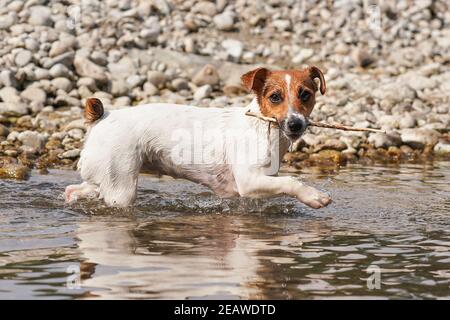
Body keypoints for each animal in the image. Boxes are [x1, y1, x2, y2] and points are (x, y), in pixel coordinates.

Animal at [64, 66, 330, 209]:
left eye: (305, 94)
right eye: (275, 97)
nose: (295, 123)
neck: (261, 125)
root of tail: (102, 116)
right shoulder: (249, 182)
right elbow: (292, 181)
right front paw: (314, 196)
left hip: (105, 177)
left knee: (76, 189)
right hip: (121, 189)